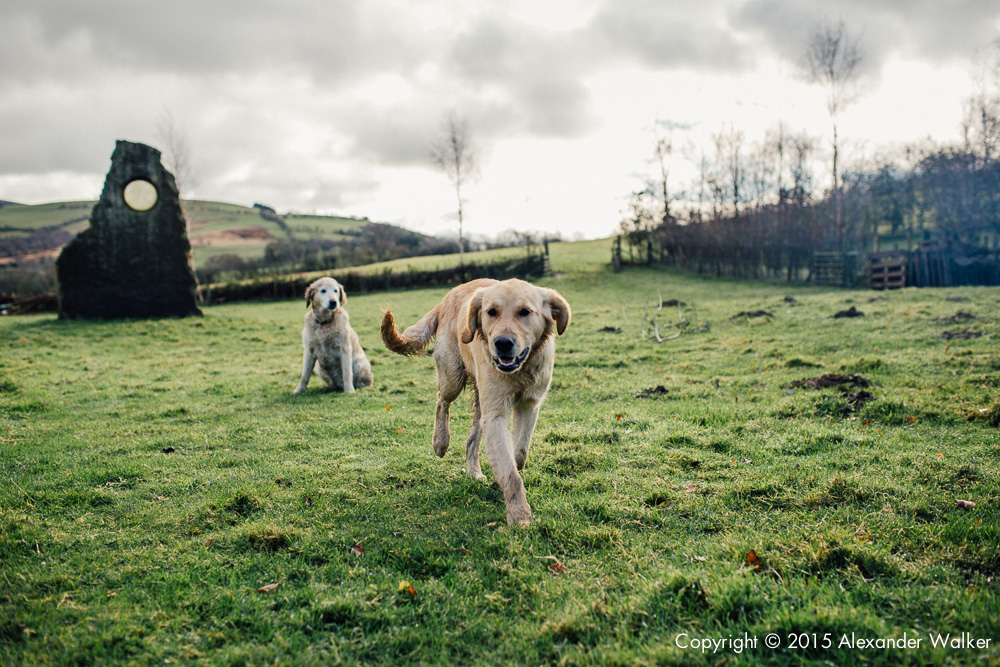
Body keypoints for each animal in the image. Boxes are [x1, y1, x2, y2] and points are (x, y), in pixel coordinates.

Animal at [382, 280, 572, 524]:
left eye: (525, 312)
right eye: (491, 312)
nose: (502, 343)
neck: (520, 370)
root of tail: (449, 295)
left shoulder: (529, 405)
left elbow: (518, 455)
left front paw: (504, 486)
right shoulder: (495, 415)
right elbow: (510, 473)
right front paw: (519, 516)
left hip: (482, 401)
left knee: (472, 436)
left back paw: (474, 472)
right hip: (452, 375)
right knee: (441, 401)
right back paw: (440, 441)